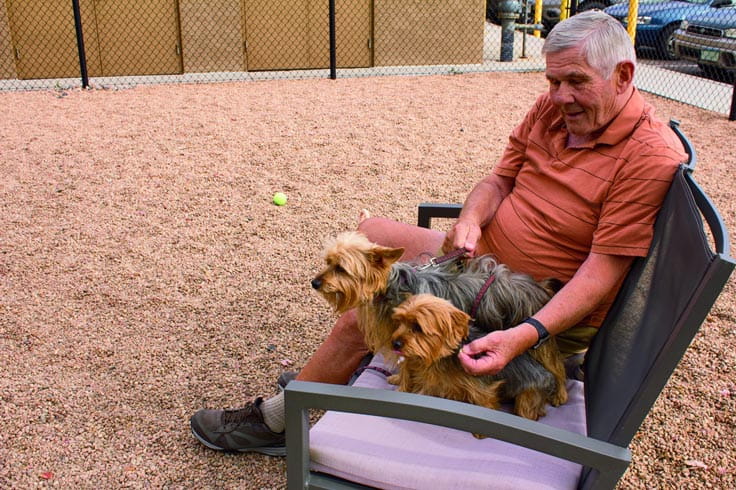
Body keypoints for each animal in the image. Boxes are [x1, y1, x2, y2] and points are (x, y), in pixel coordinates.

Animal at [394, 294, 560, 422]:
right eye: (399, 322)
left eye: (417, 327)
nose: (395, 343)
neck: (440, 358)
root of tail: (549, 376)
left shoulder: (482, 387)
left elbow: (485, 402)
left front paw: (480, 433)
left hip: (530, 393)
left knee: (527, 409)